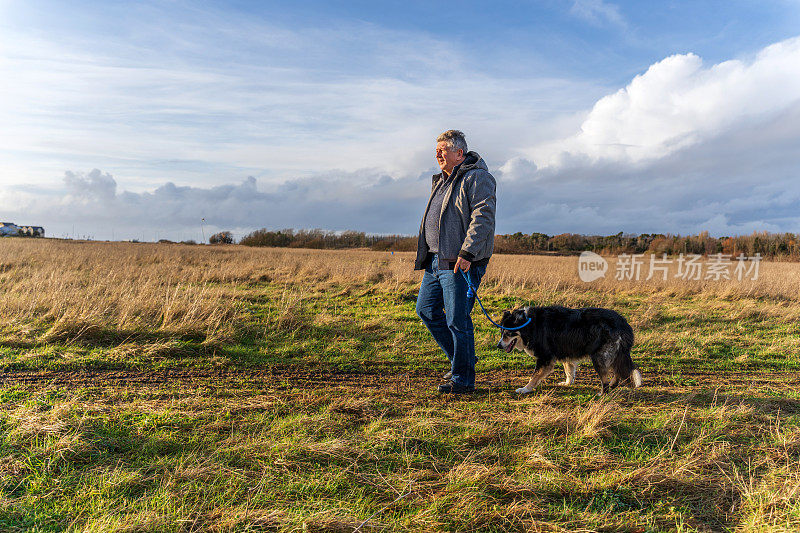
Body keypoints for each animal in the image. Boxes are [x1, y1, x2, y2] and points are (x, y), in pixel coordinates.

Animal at [496, 304, 640, 394]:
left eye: (508, 333)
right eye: (501, 332)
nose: (498, 345)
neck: (530, 324)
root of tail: (623, 324)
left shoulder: (545, 357)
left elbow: (535, 376)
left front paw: (525, 389)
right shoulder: (565, 352)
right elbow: (569, 371)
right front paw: (568, 383)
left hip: (599, 356)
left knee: (606, 376)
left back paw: (603, 393)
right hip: (614, 354)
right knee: (618, 370)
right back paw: (612, 385)